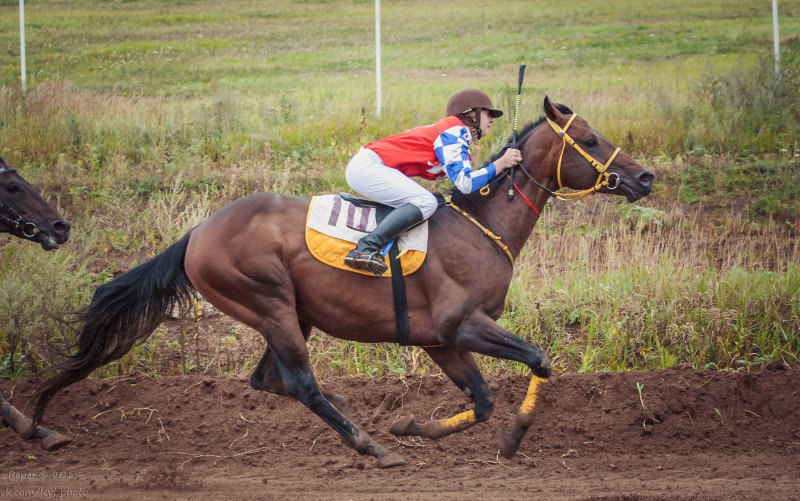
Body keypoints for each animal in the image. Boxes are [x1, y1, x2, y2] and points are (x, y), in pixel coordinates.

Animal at [34, 96, 652, 464]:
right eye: (590, 140)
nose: (645, 176)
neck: (481, 225)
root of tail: (197, 233)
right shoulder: (462, 325)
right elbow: (538, 360)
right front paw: (515, 436)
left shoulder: (441, 340)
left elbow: (480, 400)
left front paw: (413, 426)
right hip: (269, 303)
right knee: (300, 384)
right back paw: (369, 444)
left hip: (289, 313)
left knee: (270, 381)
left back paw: (367, 428)